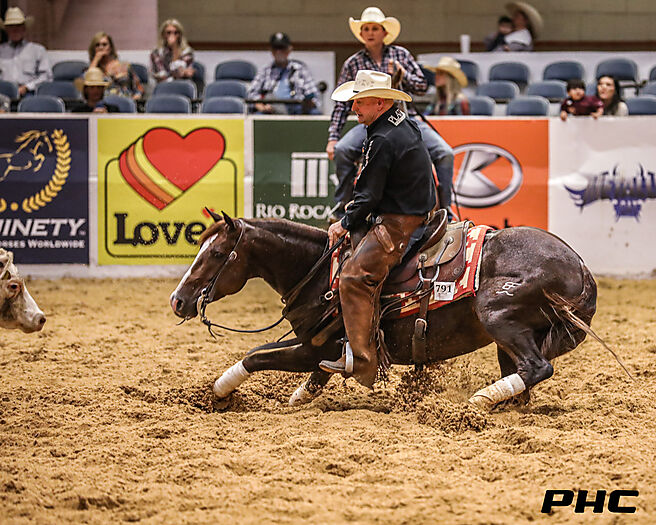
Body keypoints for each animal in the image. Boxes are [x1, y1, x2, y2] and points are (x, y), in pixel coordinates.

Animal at [170, 212, 599, 411]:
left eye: (216, 254)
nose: (177, 300)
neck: (321, 273)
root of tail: (580, 267)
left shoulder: (316, 348)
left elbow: (255, 356)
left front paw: (217, 393)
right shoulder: (315, 345)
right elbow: (305, 374)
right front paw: (298, 397)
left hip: (496, 313)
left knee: (536, 368)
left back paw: (479, 400)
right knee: (524, 376)